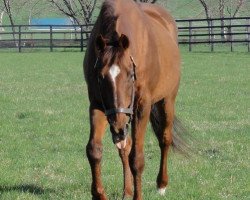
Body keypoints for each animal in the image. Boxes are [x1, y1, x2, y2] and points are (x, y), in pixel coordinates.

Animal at [84, 0, 184, 200]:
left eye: (131, 75)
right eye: (100, 77)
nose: (118, 124)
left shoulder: (141, 107)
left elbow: (136, 159)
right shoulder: (98, 105)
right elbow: (94, 150)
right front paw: (99, 194)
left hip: (167, 100)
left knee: (165, 139)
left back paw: (161, 184)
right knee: (125, 146)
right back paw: (127, 190)